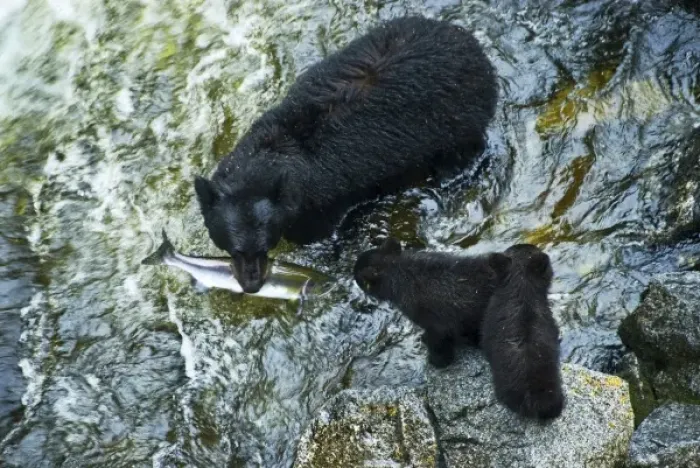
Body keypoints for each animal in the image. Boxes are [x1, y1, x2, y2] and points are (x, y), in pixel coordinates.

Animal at [194, 16, 498, 293]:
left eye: (264, 244)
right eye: (232, 247)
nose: (252, 286)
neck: (273, 151)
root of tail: (469, 41)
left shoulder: (321, 207)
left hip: (462, 126)